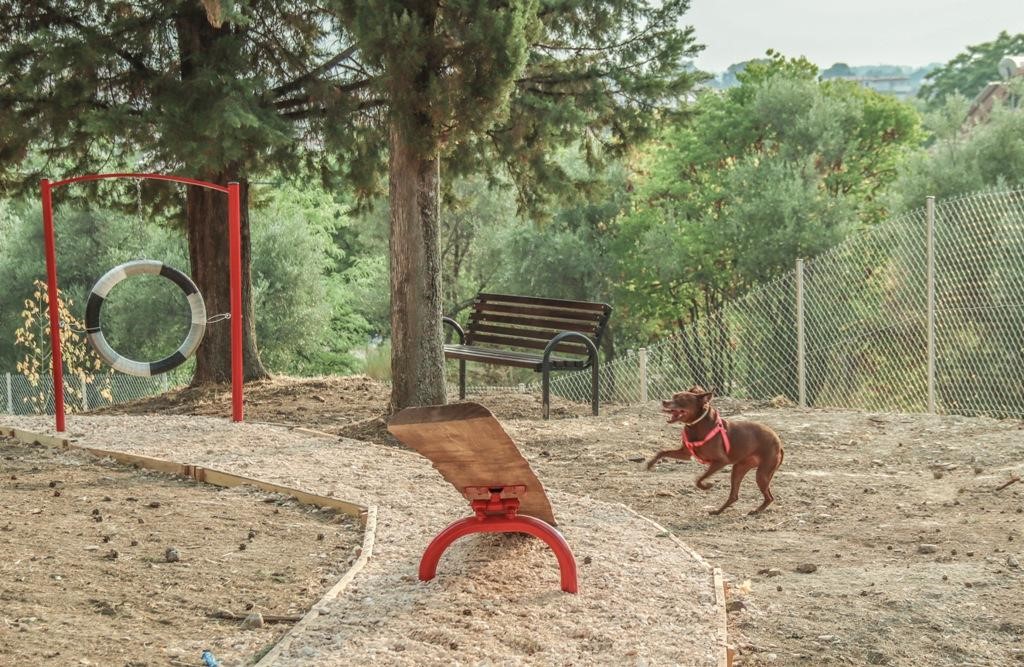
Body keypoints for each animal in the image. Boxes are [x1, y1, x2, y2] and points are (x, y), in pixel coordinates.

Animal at [647, 385, 782, 516]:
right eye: (673, 396)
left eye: (681, 399)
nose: (664, 401)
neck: (697, 425)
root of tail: (779, 443)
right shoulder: (685, 454)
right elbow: (662, 452)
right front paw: (649, 464)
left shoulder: (721, 461)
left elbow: (699, 479)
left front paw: (707, 486)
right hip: (739, 468)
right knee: (734, 496)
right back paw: (718, 511)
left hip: (762, 474)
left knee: (769, 497)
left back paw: (756, 511)